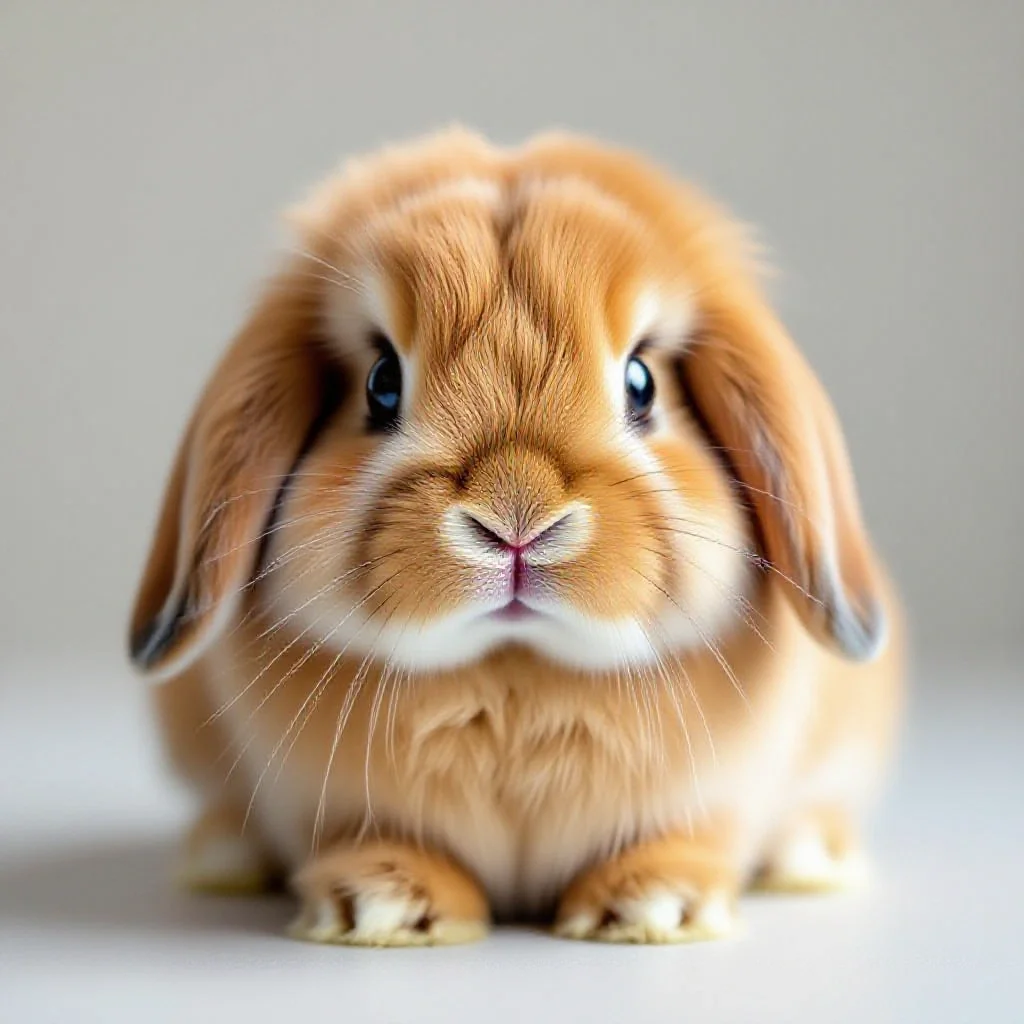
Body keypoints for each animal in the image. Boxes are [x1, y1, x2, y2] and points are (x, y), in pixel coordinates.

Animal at [129, 128, 903, 946]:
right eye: (380, 383)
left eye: (641, 383)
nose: (516, 518)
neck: (515, 670)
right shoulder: (334, 804)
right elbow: (374, 840)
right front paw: (381, 904)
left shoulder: (715, 795)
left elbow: (687, 837)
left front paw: (651, 905)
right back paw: (223, 856)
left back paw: (808, 859)